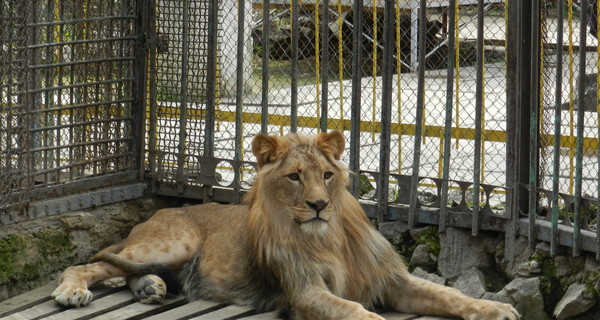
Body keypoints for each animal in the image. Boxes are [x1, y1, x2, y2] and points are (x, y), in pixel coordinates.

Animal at [52, 131, 520, 318]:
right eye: (294, 177)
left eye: (326, 175)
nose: (318, 205)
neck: (327, 237)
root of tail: (158, 211)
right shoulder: (305, 290)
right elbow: (355, 310)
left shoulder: (392, 281)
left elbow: (449, 294)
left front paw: (494, 308)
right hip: (174, 242)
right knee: (92, 263)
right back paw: (73, 290)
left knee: (123, 269)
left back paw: (149, 287)